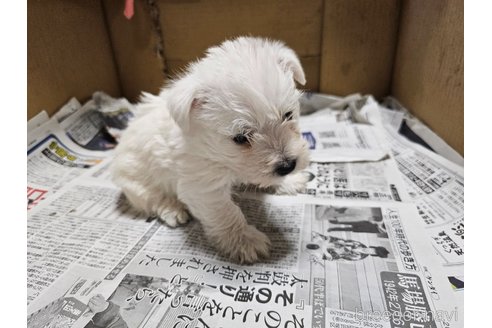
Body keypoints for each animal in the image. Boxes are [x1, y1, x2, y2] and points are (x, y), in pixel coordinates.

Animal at [112, 37, 312, 264]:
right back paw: (173, 209)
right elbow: (226, 212)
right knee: (152, 198)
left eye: (288, 115)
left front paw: (290, 181)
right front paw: (245, 241)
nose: (288, 166)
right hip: (136, 183)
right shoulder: (203, 186)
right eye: (240, 138)